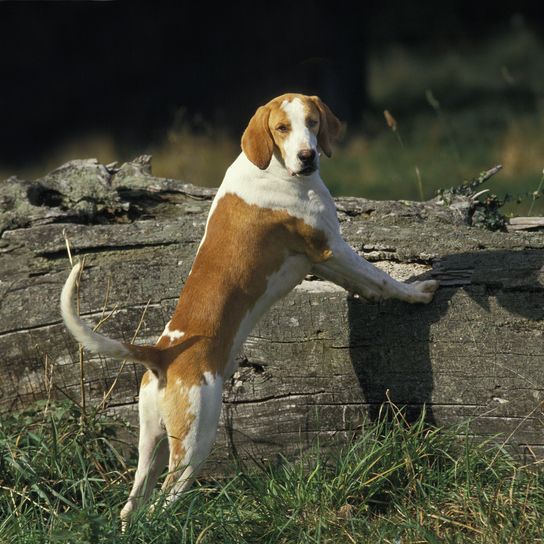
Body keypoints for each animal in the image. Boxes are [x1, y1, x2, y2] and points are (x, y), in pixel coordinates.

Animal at [61, 92, 440, 524]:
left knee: (132, 507)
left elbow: (366, 284)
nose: (308, 156)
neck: (272, 168)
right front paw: (417, 292)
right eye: (282, 128)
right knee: (161, 504)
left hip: (152, 446)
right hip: (194, 446)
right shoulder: (331, 249)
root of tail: (162, 353)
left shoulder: (322, 260)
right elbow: (383, 279)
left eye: (312, 121)